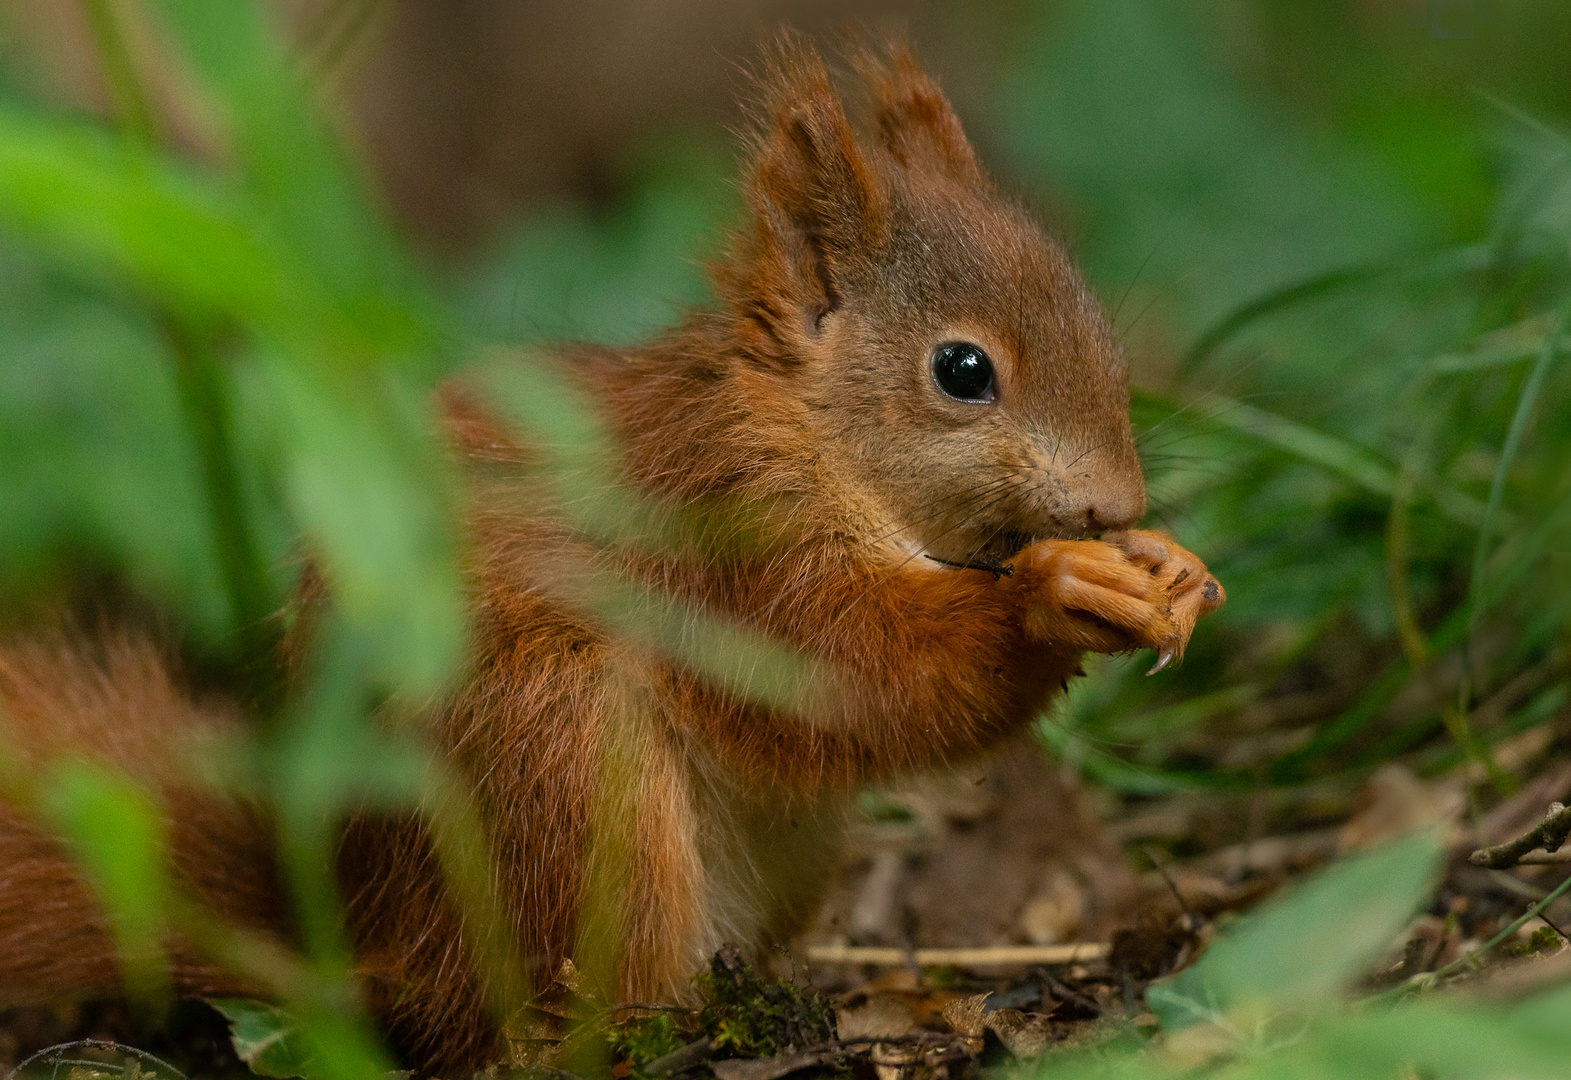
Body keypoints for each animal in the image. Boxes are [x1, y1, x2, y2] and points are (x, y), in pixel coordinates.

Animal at [0, 38, 1225, 1075]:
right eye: (961, 371)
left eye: (1092, 316)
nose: (1116, 501)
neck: (807, 428)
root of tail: (375, 951)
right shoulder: (726, 533)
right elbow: (845, 674)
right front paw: (1054, 593)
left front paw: (1169, 567)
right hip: (570, 768)